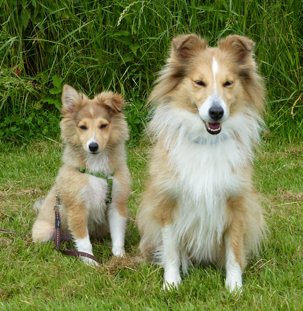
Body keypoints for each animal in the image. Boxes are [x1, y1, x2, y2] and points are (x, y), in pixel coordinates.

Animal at [32, 85, 131, 266]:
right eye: (83, 127)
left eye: (103, 125)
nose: (93, 146)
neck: (96, 166)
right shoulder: (77, 207)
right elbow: (84, 241)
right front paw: (90, 263)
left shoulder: (117, 204)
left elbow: (118, 234)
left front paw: (120, 257)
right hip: (46, 231)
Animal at [139, 33, 268, 292]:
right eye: (199, 82)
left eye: (228, 83)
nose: (216, 112)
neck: (206, 142)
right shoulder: (167, 202)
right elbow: (170, 250)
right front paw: (171, 284)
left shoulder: (237, 203)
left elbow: (234, 252)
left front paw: (234, 287)